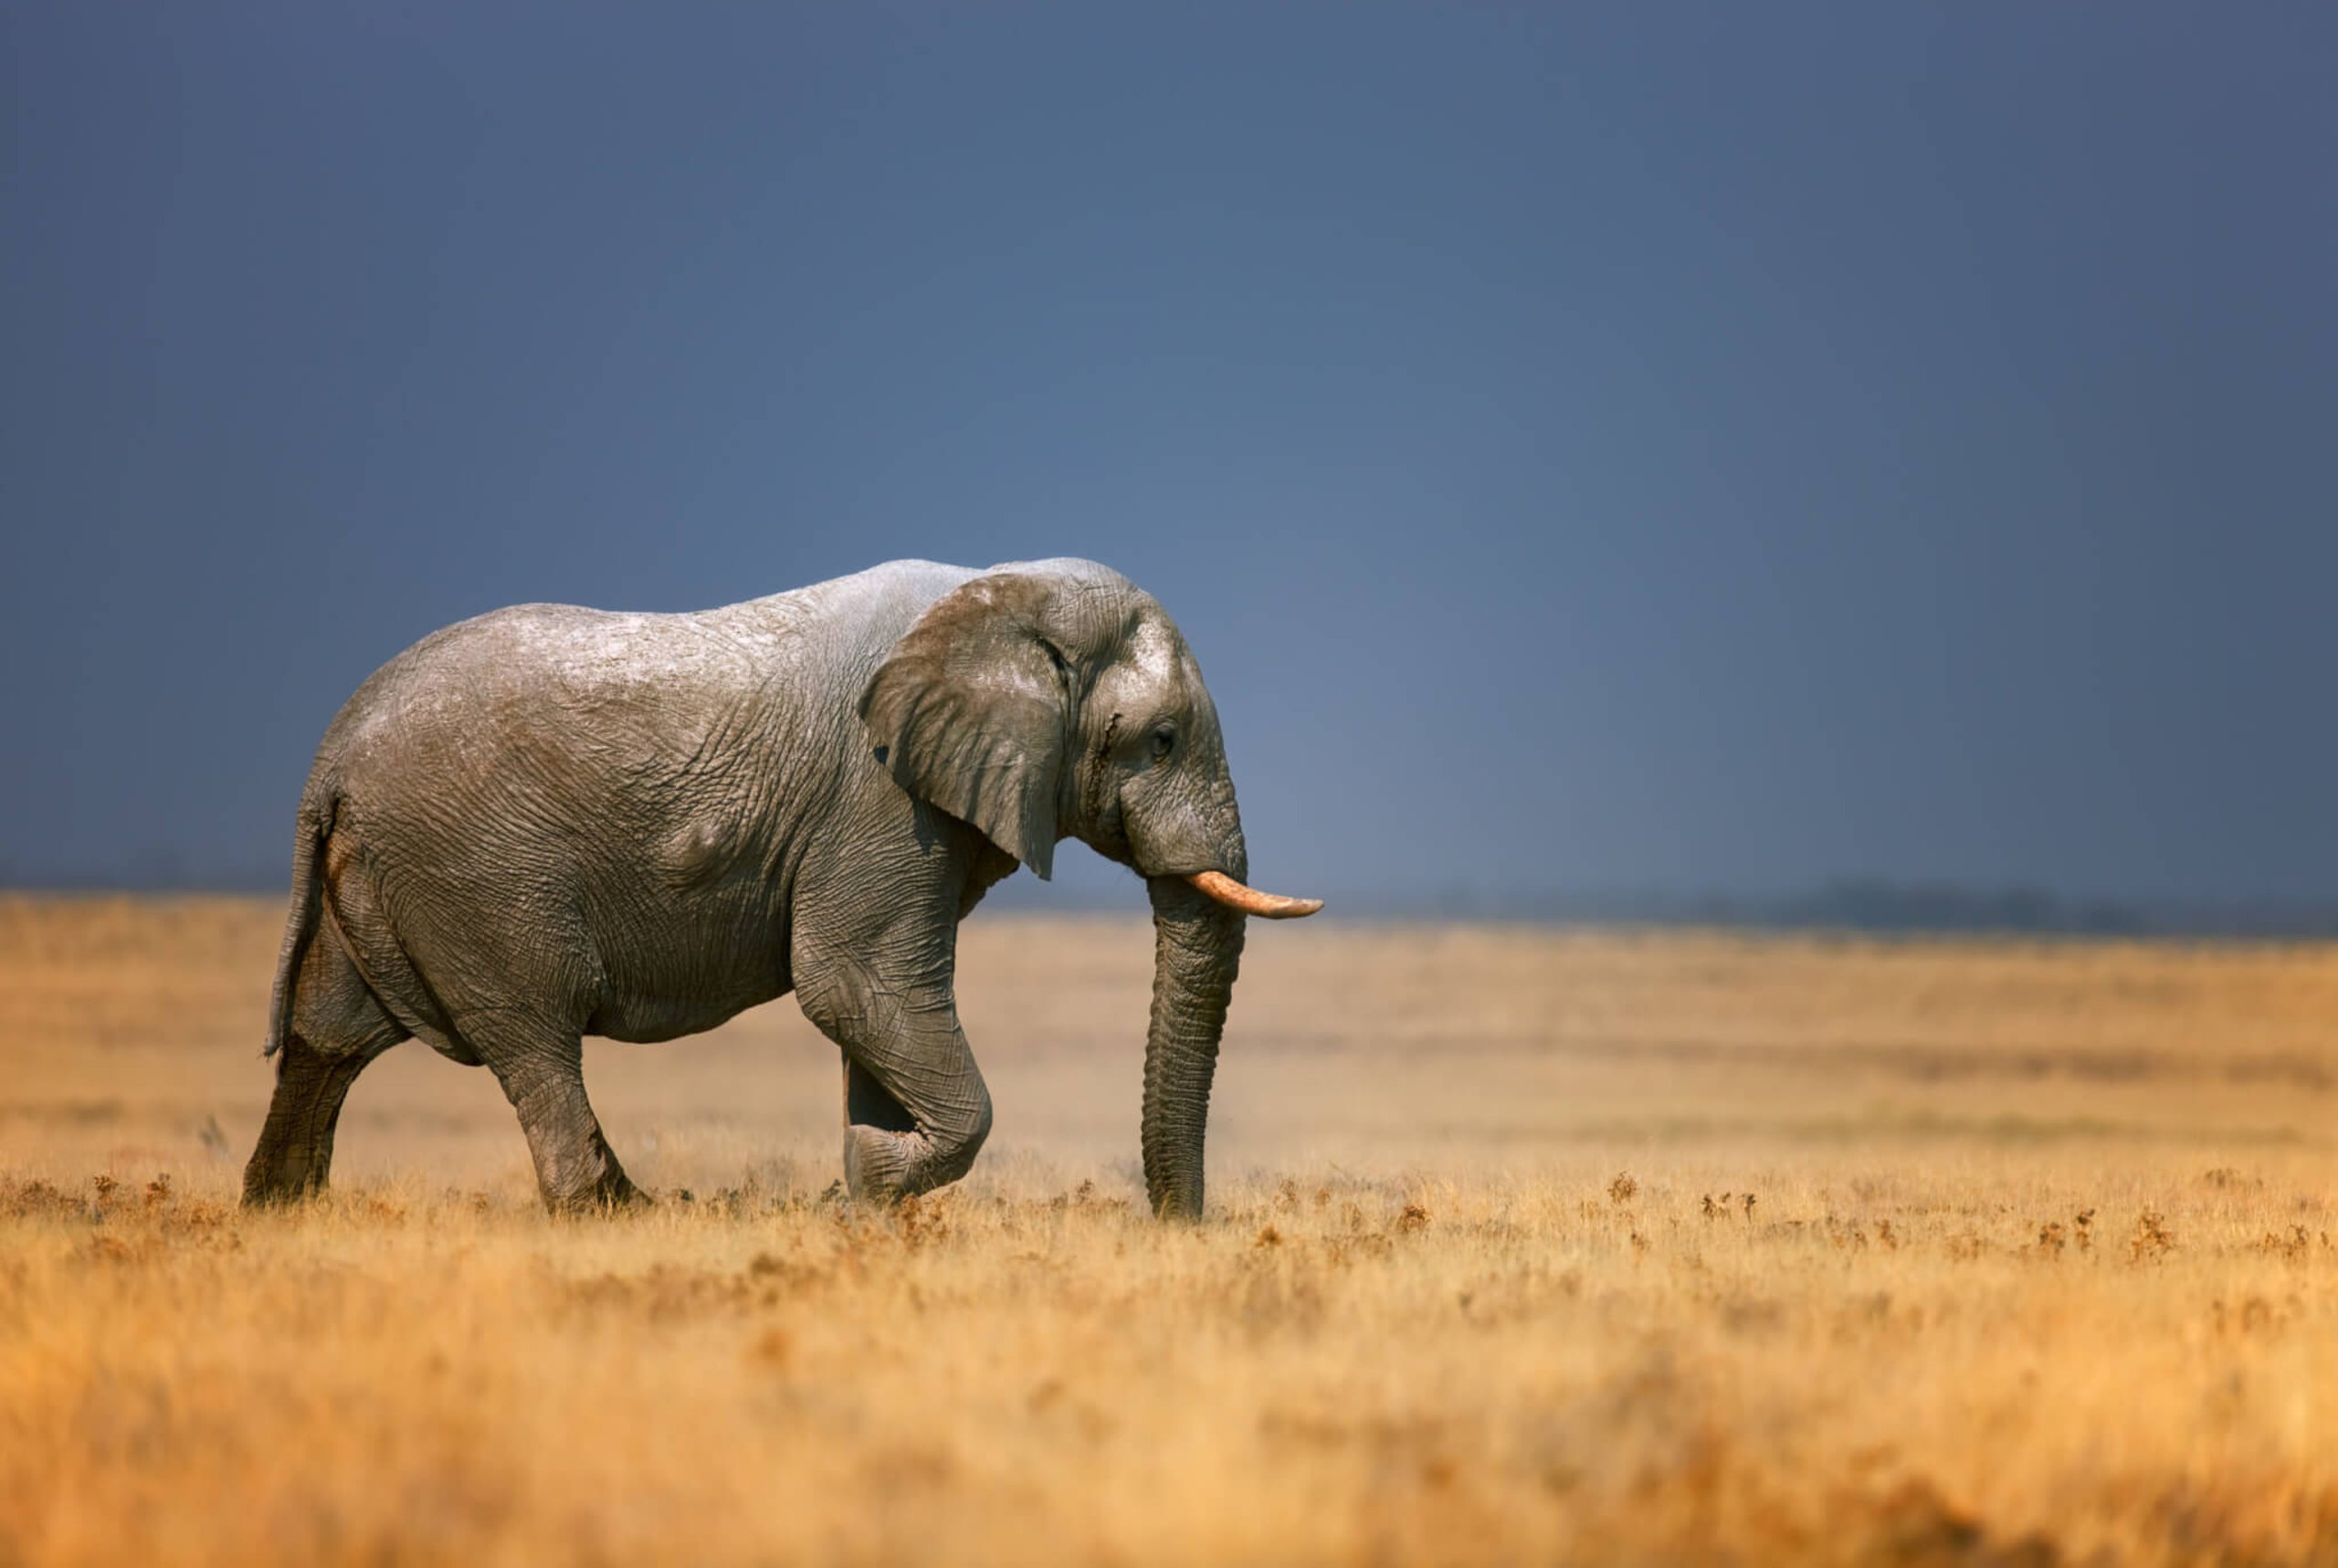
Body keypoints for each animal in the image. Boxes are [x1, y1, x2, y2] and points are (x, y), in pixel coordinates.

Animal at [241, 558, 1320, 1218]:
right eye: (1162, 740)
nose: (1179, 1231)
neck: (1004, 597)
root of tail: (330, 759)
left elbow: (874, 1008)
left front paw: (864, 1197)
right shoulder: (876, 797)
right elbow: (850, 984)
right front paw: (865, 1186)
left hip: (389, 870)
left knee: (331, 1035)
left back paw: (281, 1213)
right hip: (477, 871)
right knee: (535, 1033)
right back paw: (611, 1216)